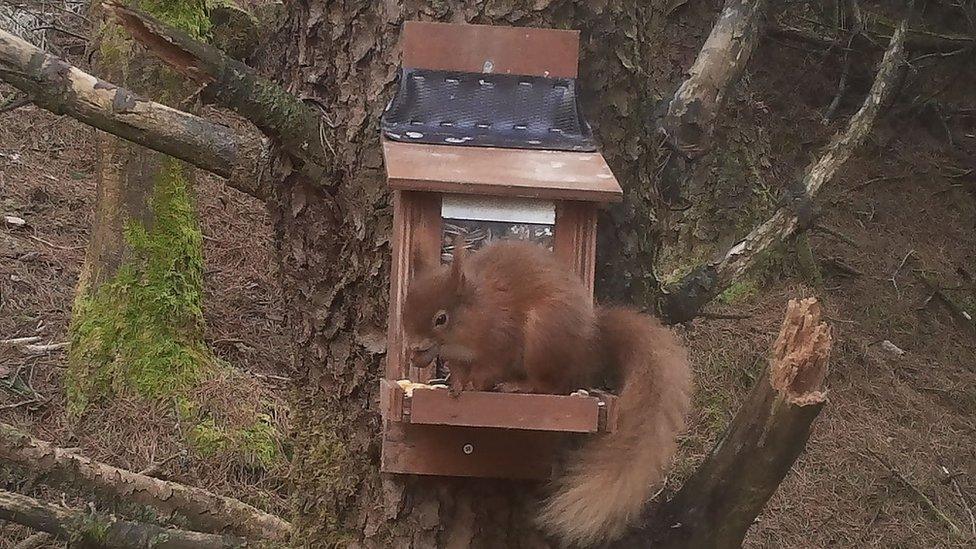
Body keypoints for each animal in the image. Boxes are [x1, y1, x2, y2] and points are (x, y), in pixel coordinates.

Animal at [400, 239, 692, 544]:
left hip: (543, 336)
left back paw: (518, 386)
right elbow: (458, 370)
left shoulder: (502, 337)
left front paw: (473, 385)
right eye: (405, 309)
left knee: (549, 385)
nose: (413, 350)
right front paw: (454, 384)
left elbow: (490, 368)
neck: (478, 309)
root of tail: (592, 343)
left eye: (441, 319)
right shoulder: (457, 358)